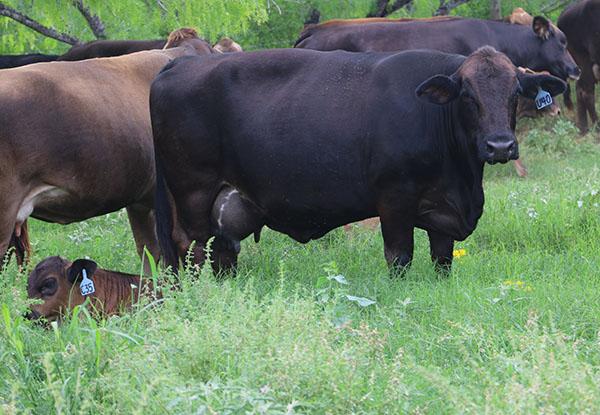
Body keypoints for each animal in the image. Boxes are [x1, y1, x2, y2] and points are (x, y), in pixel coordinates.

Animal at [152, 47, 564, 274]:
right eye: (467, 94)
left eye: (515, 91)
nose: (500, 146)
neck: (462, 180)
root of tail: (178, 65)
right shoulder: (394, 198)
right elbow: (399, 256)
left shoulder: (443, 212)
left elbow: (442, 259)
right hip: (193, 193)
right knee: (190, 247)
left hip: (227, 200)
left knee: (222, 251)